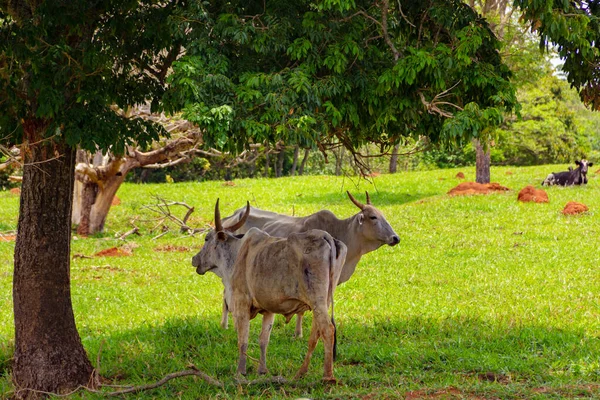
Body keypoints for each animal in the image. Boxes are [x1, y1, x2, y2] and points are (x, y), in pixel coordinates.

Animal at [190, 200, 344, 382]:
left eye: (207, 238)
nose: (194, 259)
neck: (237, 253)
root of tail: (325, 236)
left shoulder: (241, 302)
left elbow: (243, 339)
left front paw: (240, 372)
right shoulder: (269, 309)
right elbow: (264, 340)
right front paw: (262, 370)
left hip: (317, 300)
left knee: (327, 329)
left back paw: (328, 376)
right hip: (323, 301)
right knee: (316, 333)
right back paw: (301, 372)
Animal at [220, 191, 398, 338]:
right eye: (373, 217)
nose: (396, 238)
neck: (342, 232)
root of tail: (232, 217)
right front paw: (299, 334)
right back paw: (226, 324)